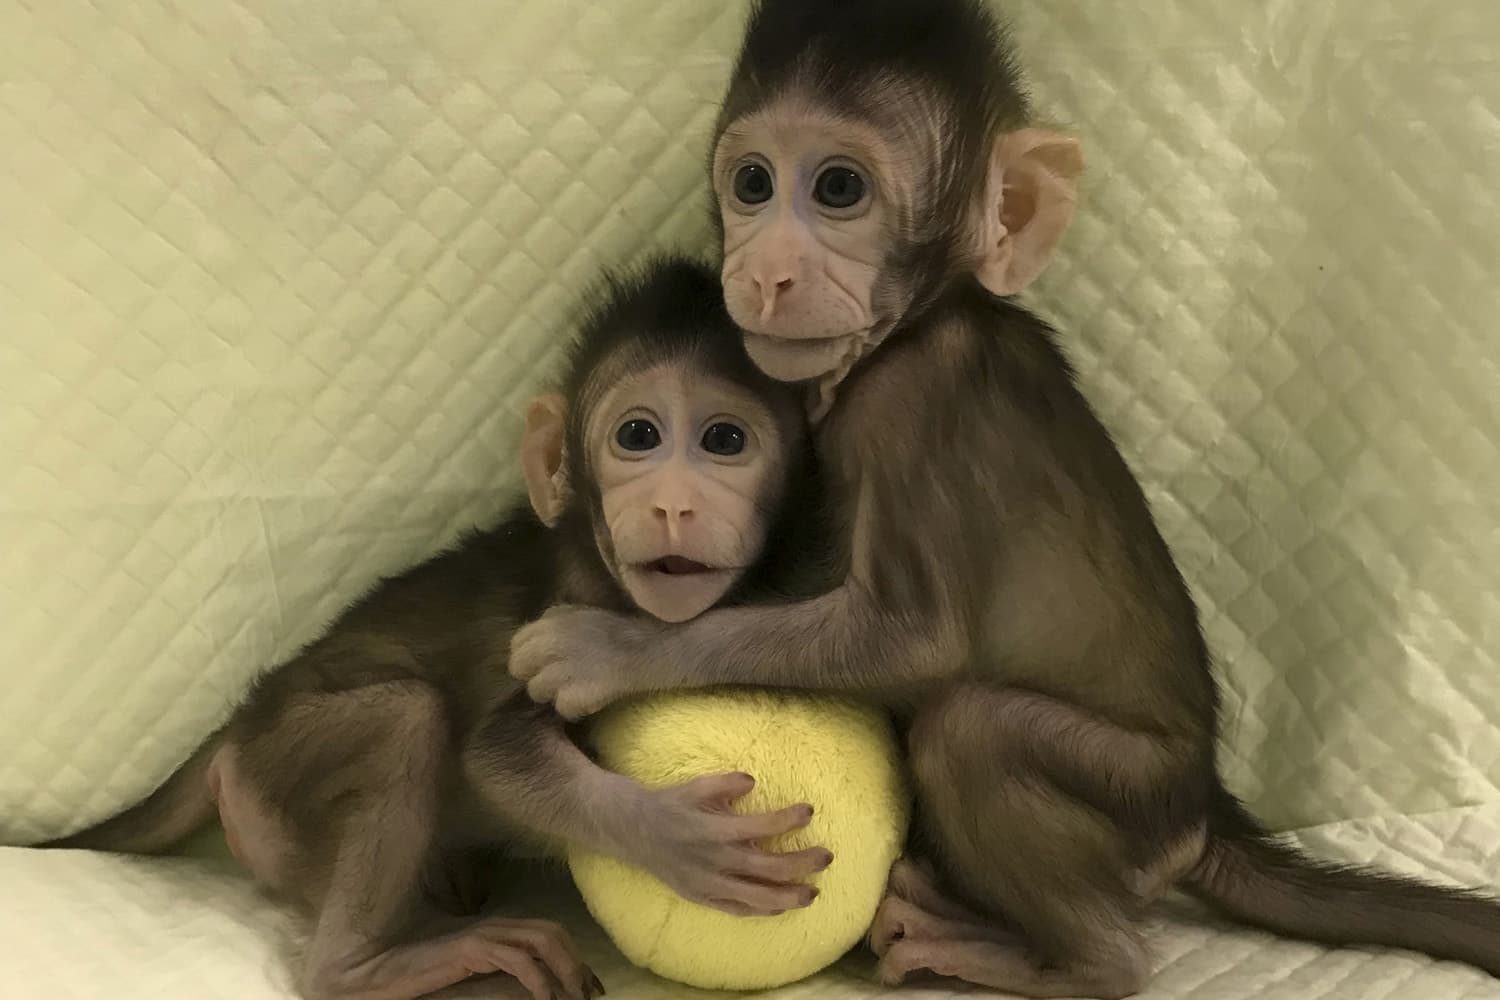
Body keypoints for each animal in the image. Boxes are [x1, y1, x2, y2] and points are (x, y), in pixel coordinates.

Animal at [38, 256, 837, 1000]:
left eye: (724, 440)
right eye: (638, 435)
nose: (674, 504)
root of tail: (238, 726)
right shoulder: (560, 610)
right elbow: (496, 754)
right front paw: (675, 837)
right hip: (274, 769)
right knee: (406, 715)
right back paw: (366, 965)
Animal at [507, 3, 1500, 997]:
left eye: (838, 188)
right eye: (753, 182)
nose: (765, 272)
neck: (924, 318)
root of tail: (1202, 812)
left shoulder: (911, 402)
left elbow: (914, 638)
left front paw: (612, 648)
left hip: (1129, 797)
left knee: (973, 732)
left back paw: (1046, 955)